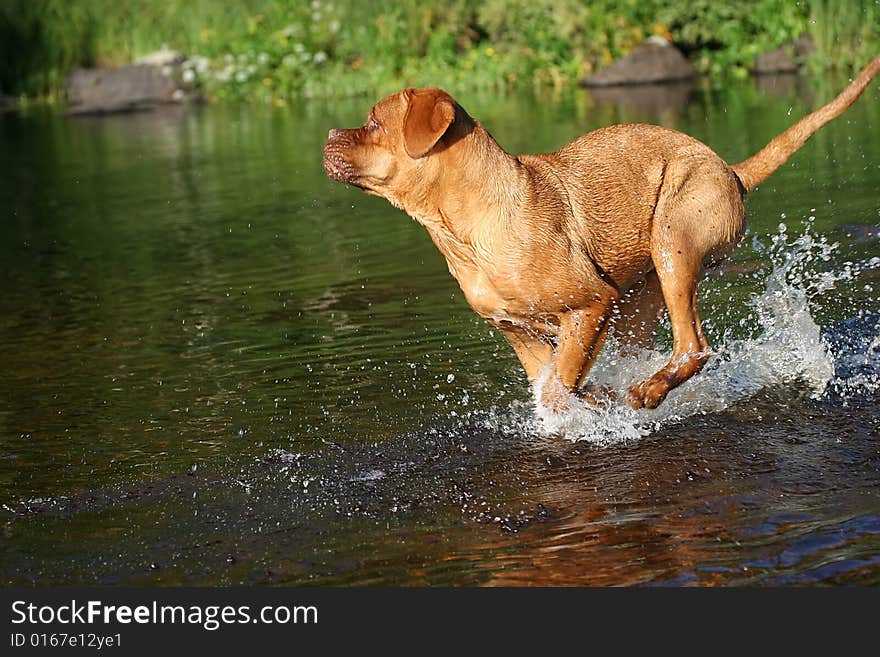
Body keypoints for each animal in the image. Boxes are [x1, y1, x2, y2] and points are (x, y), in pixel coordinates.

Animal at [324, 57, 880, 416]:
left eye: (373, 122)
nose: (328, 135)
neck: (463, 230)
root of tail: (732, 171)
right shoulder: (519, 333)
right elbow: (553, 381)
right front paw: (583, 404)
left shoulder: (590, 304)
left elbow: (559, 385)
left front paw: (582, 406)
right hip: (641, 297)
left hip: (673, 240)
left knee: (694, 347)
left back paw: (644, 394)